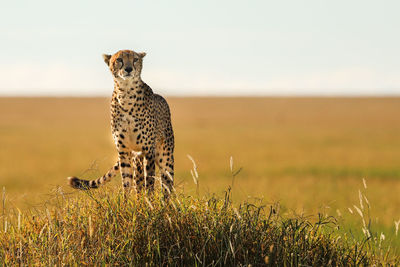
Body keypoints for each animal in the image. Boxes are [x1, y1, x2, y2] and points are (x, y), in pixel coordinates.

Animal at [68, 49, 174, 197]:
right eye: (119, 60)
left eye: (135, 59)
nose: (128, 69)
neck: (126, 94)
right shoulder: (124, 150)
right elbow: (127, 183)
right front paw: (127, 202)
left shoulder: (148, 150)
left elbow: (150, 183)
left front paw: (150, 202)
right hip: (136, 158)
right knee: (138, 182)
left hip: (165, 157)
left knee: (167, 185)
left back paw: (167, 202)